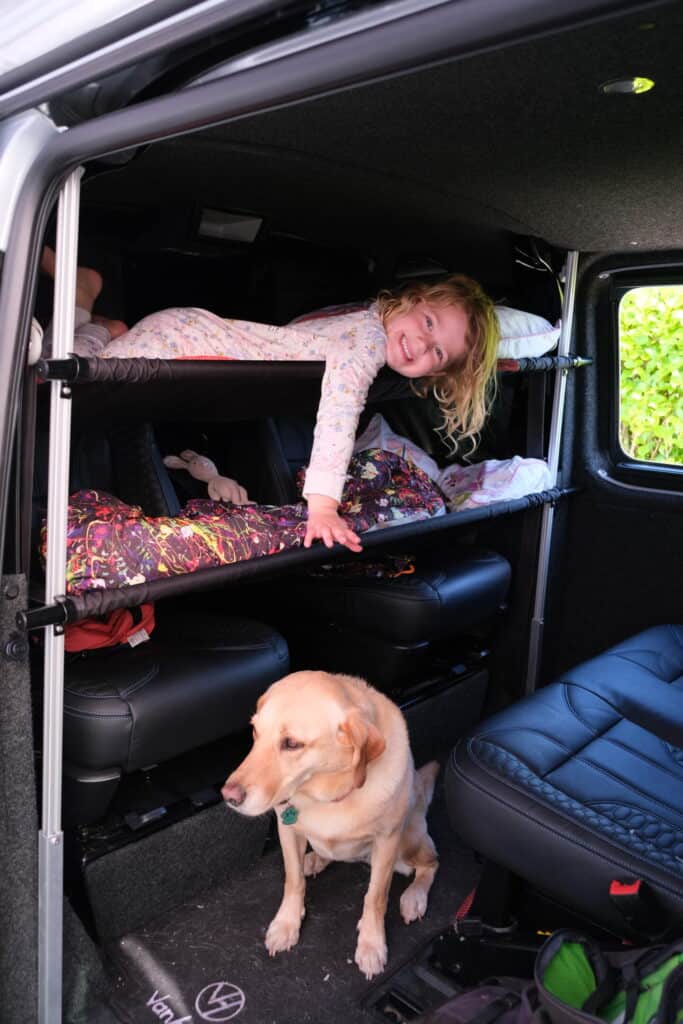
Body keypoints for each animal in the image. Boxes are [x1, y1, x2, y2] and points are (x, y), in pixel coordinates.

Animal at [222, 667, 440, 978]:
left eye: (292, 744)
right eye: (255, 731)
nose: (228, 796)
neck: (327, 794)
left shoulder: (387, 841)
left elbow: (376, 897)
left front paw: (372, 944)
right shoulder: (287, 829)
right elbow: (293, 880)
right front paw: (287, 923)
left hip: (409, 841)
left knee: (431, 863)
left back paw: (414, 897)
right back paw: (315, 859)